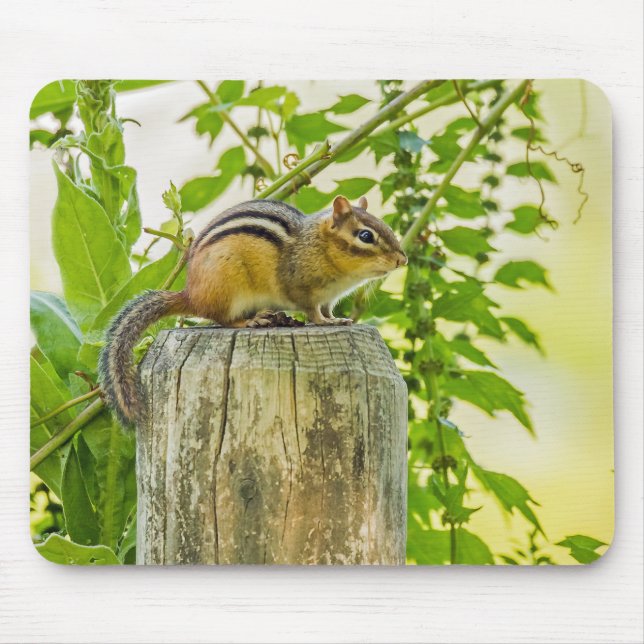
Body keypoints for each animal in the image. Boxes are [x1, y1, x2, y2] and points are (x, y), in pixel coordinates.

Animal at [98, 195, 407, 427]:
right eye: (365, 235)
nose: (402, 260)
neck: (321, 247)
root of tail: (191, 294)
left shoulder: (329, 298)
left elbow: (328, 310)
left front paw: (338, 319)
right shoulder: (302, 289)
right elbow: (312, 312)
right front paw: (324, 323)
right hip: (228, 287)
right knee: (222, 319)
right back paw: (252, 321)